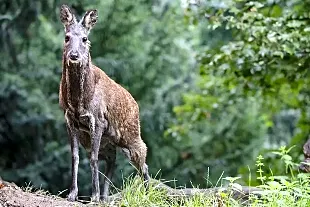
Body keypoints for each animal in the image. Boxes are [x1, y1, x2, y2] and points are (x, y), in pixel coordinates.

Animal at [59, 4, 150, 202]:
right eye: (67, 37)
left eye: (85, 38)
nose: (74, 55)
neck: (79, 102)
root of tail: (136, 104)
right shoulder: (70, 120)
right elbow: (75, 157)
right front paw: (72, 194)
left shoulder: (98, 120)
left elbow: (93, 159)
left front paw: (92, 195)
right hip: (108, 141)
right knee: (111, 161)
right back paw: (105, 197)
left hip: (131, 134)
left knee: (143, 161)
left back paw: (146, 195)